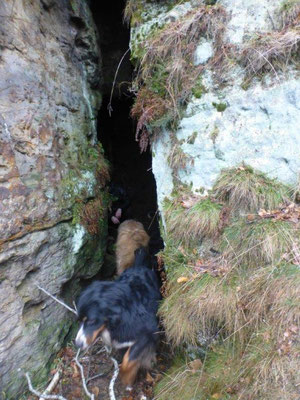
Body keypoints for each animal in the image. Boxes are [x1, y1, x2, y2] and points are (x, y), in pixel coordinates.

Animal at [74, 248, 161, 390]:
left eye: (91, 321)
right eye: (79, 321)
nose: (78, 344)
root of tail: (138, 266)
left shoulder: (149, 331)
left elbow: (128, 360)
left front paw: (127, 379)